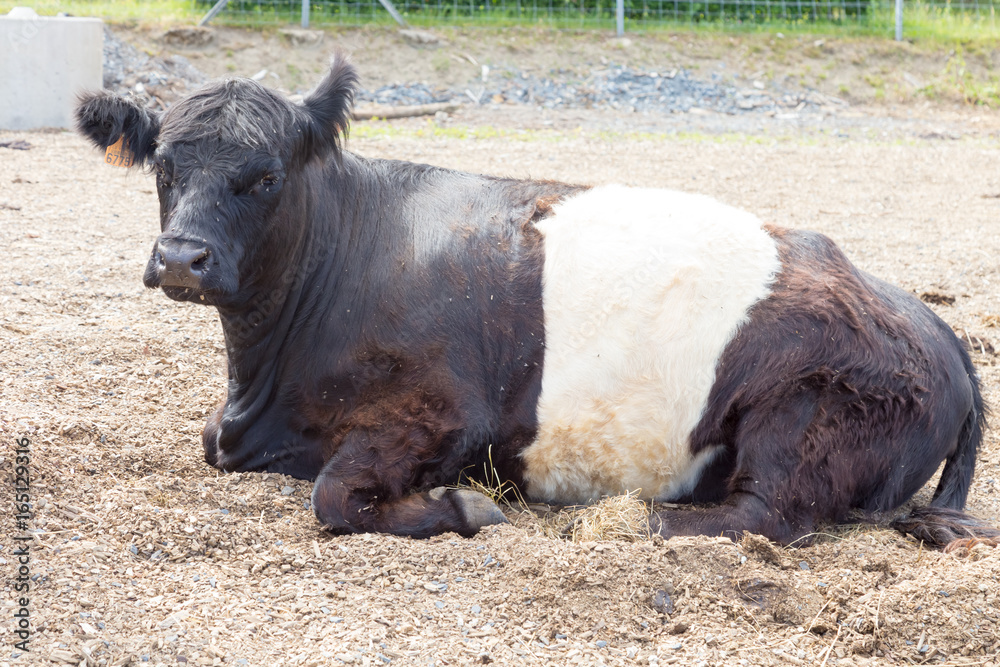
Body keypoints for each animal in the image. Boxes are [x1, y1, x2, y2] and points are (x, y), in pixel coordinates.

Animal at [75, 55, 998, 547]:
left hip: (802, 414)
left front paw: (461, 504)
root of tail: (931, 324)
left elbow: (334, 495)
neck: (263, 377)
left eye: (264, 176)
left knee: (759, 512)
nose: (182, 258)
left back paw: (640, 517)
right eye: (163, 168)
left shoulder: (449, 412)